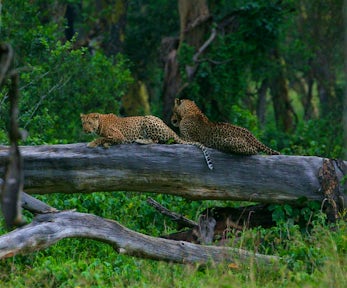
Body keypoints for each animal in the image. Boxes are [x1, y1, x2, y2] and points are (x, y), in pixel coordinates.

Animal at [80, 112, 213, 170]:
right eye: (83, 123)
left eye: (89, 123)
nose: (85, 130)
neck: (100, 124)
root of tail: (171, 129)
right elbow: (105, 139)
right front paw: (106, 144)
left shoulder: (119, 135)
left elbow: (102, 137)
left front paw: (92, 143)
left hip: (147, 119)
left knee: (156, 140)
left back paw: (141, 140)